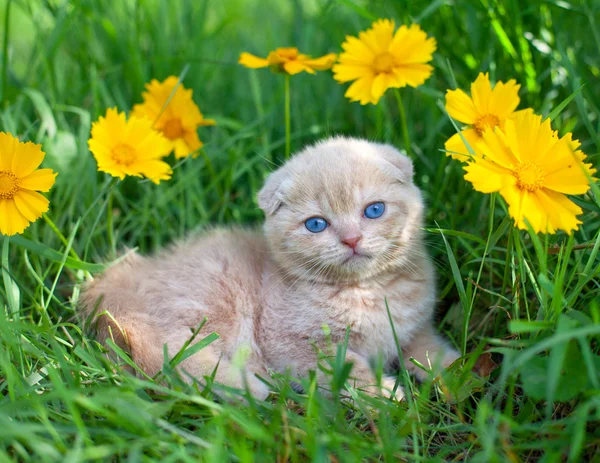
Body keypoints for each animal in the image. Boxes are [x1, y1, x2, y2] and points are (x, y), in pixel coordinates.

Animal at [81, 136, 460, 400]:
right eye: (316, 224)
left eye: (374, 210)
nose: (351, 239)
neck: (366, 291)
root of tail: (114, 286)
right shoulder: (290, 342)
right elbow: (345, 368)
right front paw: (382, 395)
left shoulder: (413, 329)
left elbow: (431, 352)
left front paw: (462, 374)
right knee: (174, 353)